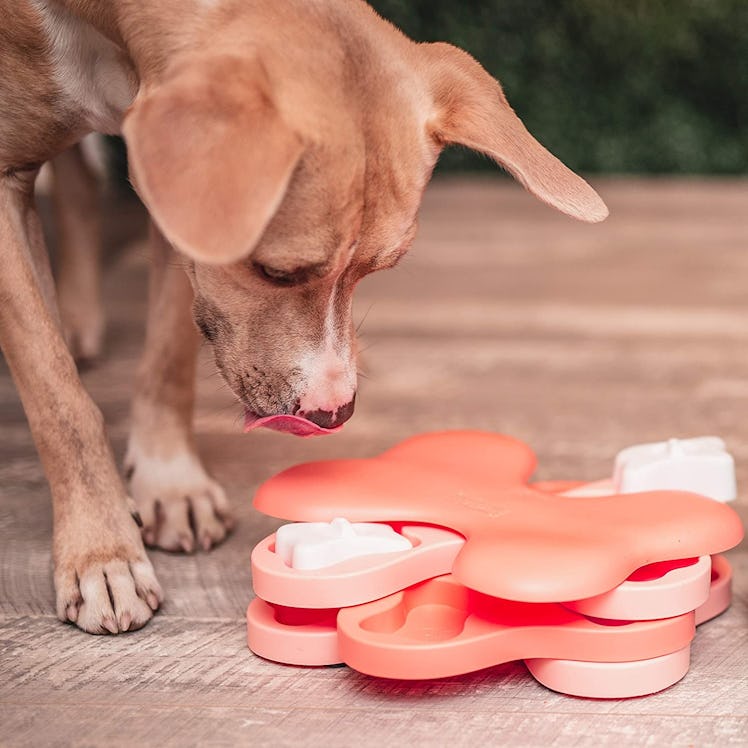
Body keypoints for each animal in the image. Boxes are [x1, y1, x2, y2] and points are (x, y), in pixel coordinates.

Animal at [0, 0, 604, 636]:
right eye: (276, 272)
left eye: (382, 266)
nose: (334, 414)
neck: (107, 28)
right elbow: (58, 399)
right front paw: (102, 550)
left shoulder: (174, 207)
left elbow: (166, 358)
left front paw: (170, 479)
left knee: (82, 182)